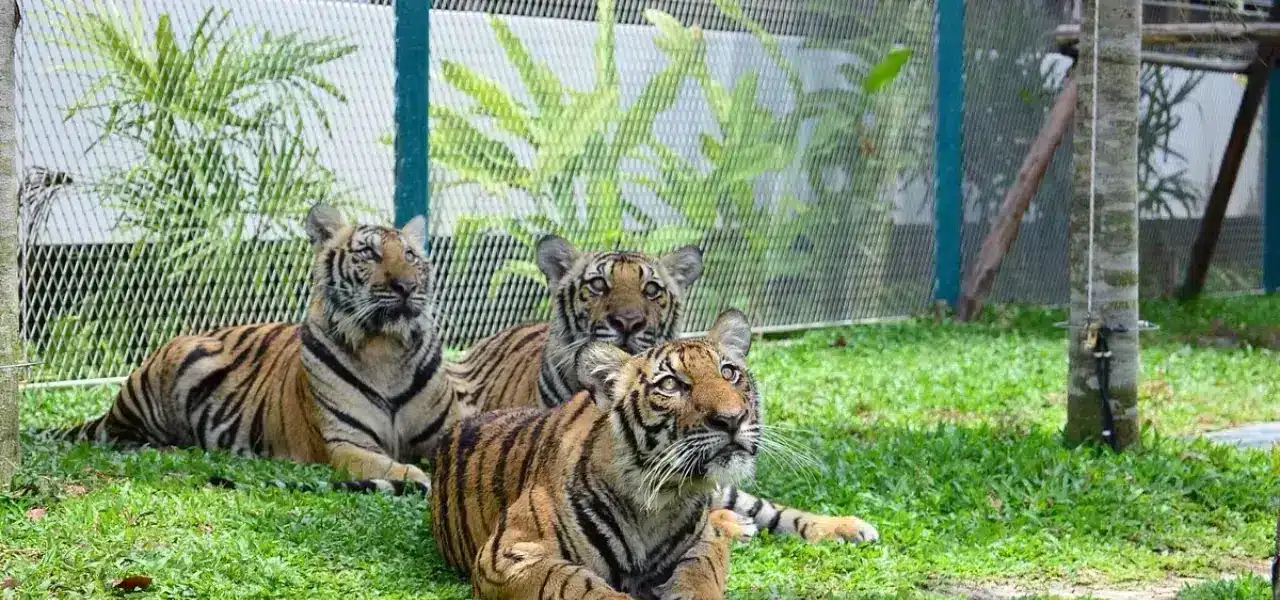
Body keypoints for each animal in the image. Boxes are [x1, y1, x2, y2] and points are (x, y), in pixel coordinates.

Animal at [45, 204, 458, 492]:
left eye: (410, 256)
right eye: (369, 253)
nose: (407, 287)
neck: (384, 348)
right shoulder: (344, 442)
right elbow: (387, 465)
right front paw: (414, 476)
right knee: (122, 437)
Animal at [431, 310, 760, 600]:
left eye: (729, 373)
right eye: (669, 384)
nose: (732, 419)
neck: (659, 501)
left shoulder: (702, 541)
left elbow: (701, 573)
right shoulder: (506, 554)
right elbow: (577, 584)